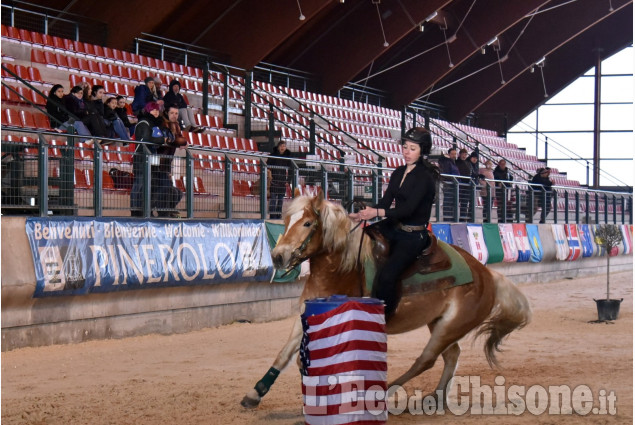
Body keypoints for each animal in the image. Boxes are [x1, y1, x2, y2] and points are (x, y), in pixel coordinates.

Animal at [242, 189, 532, 408]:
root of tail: (487, 274)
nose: (278, 256)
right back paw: (437, 398)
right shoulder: (305, 315)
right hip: (440, 322)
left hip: (451, 326)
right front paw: (255, 393)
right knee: (451, 356)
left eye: (307, 223)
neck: (343, 269)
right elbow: (285, 353)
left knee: (426, 360)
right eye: (287, 221)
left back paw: (384, 393)